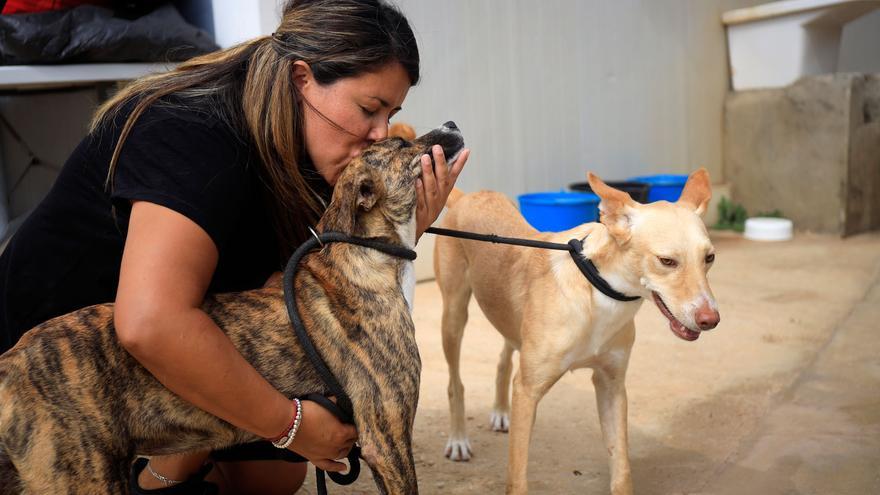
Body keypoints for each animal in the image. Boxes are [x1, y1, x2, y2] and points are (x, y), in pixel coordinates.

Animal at [0, 121, 468, 495]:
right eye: (401, 144)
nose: (451, 123)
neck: (367, 256)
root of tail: (11, 361)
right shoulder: (385, 439)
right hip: (83, 478)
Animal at [434, 169, 720, 494]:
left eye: (709, 257)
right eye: (667, 261)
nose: (710, 319)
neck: (599, 293)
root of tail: (467, 197)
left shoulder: (611, 385)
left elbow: (621, 469)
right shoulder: (527, 391)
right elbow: (517, 477)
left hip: (508, 317)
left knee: (504, 357)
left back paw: (500, 411)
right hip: (454, 315)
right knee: (455, 383)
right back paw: (459, 439)